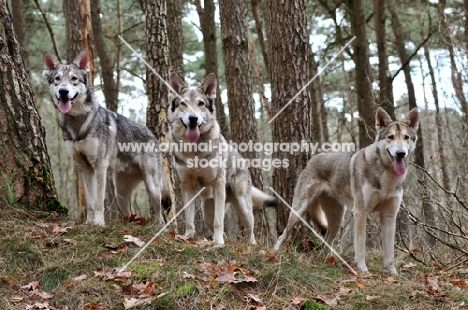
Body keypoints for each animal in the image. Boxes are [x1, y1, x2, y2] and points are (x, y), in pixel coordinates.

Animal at [43, 50, 171, 225]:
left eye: (74, 79)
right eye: (57, 79)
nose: (63, 91)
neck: (78, 120)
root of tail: (153, 136)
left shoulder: (99, 166)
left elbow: (98, 201)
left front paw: (98, 223)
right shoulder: (84, 168)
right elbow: (90, 202)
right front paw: (89, 223)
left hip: (152, 188)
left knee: (160, 215)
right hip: (121, 195)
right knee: (130, 212)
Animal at [168, 72, 278, 245]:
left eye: (201, 103)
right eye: (183, 104)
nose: (193, 118)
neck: (194, 149)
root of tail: (241, 158)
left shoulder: (218, 183)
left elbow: (219, 221)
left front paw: (219, 243)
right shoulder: (187, 185)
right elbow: (189, 218)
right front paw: (188, 237)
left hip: (242, 205)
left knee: (250, 229)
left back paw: (249, 244)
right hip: (207, 209)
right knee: (212, 222)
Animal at [272, 107, 418, 274]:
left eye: (406, 138)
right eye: (391, 137)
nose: (401, 153)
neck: (387, 175)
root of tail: (312, 159)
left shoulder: (389, 216)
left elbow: (389, 254)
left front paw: (393, 274)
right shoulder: (360, 212)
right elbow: (360, 247)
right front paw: (363, 271)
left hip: (336, 220)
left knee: (326, 244)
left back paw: (326, 262)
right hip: (299, 211)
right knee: (283, 234)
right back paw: (273, 254)